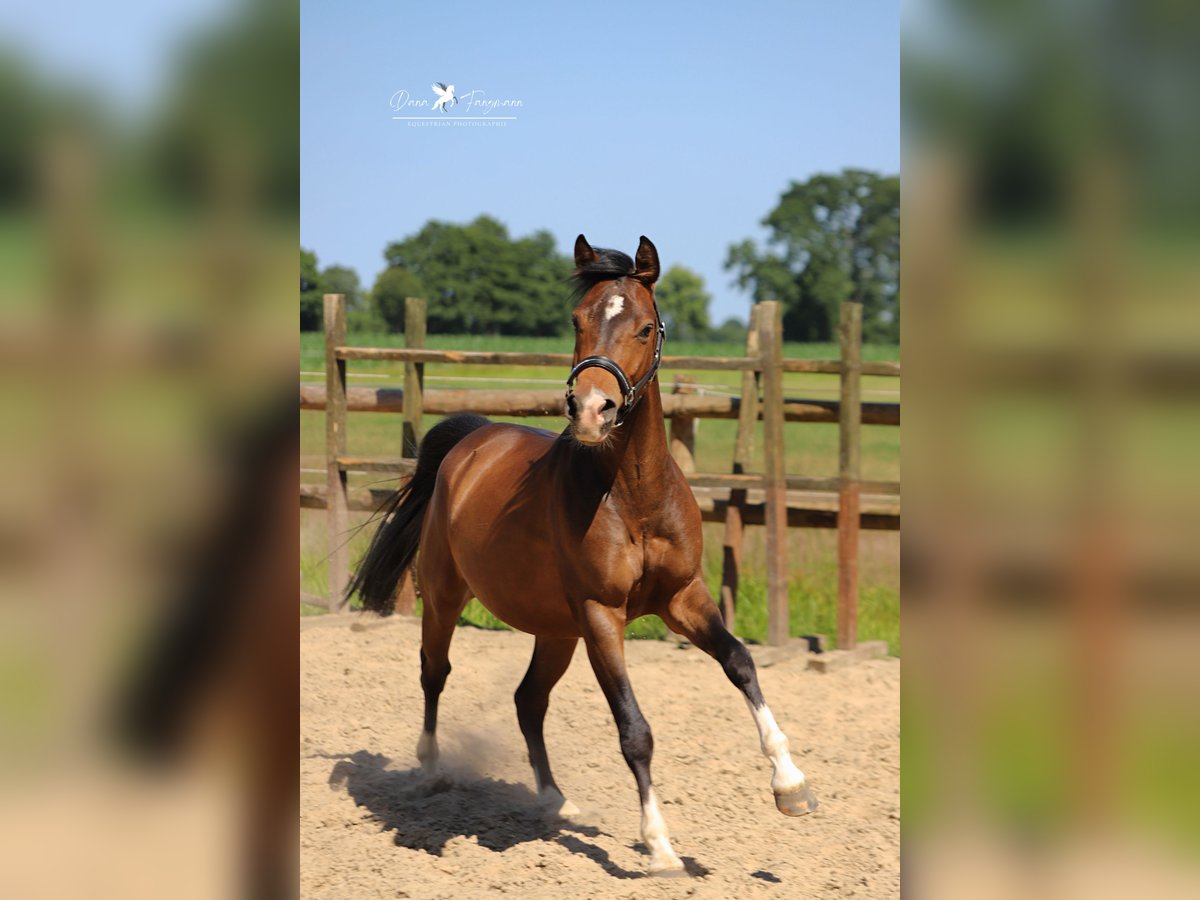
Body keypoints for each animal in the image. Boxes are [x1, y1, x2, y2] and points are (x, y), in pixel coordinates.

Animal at [348, 236, 816, 878]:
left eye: (644, 327)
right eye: (577, 321)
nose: (593, 409)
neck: (634, 498)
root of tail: (473, 439)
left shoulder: (682, 598)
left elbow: (741, 663)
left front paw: (791, 786)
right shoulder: (602, 615)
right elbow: (635, 730)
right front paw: (660, 847)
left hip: (555, 630)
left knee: (528, 700)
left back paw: (556, 802)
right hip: (447, 598)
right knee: (434, 672)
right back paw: (432, 772)